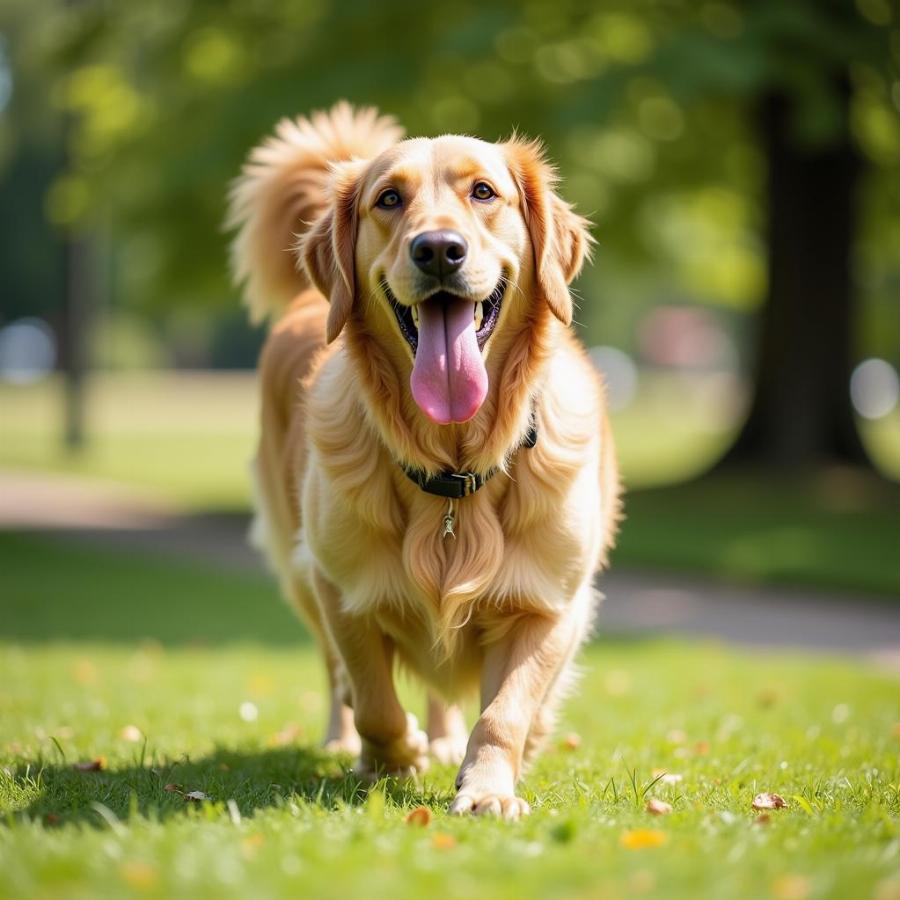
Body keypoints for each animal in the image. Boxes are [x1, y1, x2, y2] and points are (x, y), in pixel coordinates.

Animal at [229, 102, 620, 820]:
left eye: (484, 192)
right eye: (389, 198)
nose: (438, 248)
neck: (454, 467)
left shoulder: (550, 604)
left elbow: (505, 712)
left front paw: (488, 786)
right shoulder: (341, 588)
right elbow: (372, 699)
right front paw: (393, 756)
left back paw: (441, 742)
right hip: (297, 566)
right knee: (336, 675)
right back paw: (349, 742)